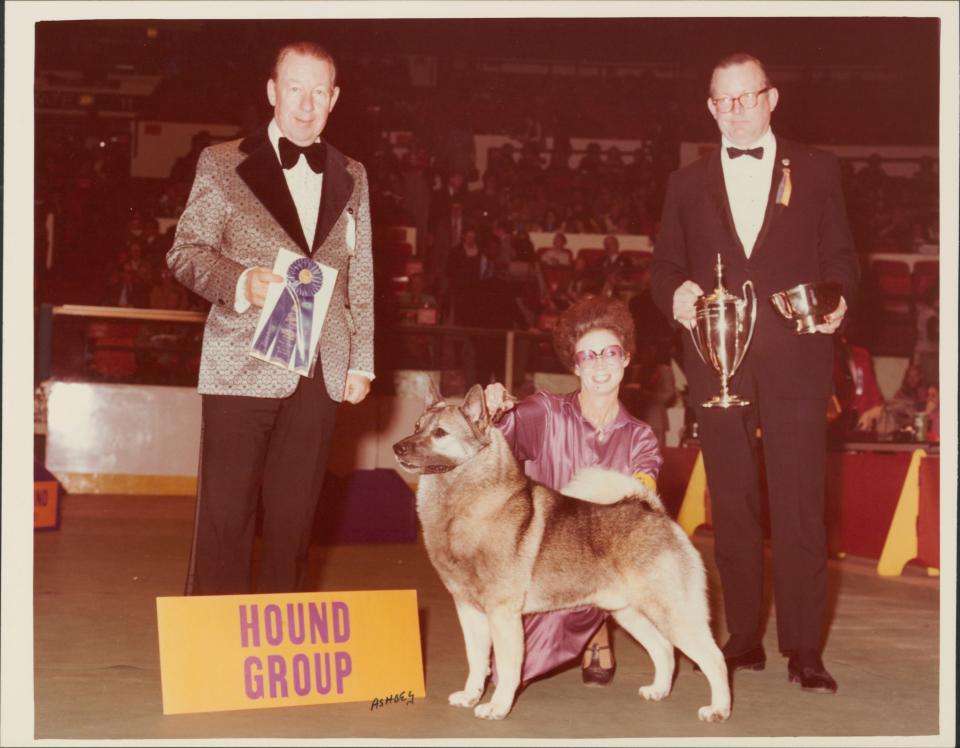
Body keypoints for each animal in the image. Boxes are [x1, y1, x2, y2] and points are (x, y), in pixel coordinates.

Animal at [390, 382, 728, 720]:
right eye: (417, 427)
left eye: (440, 433)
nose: (398, 447)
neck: (465, 498)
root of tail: (656, 512)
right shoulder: (469, 609)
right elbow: (476, 660)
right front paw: (471, 696)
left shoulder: (502, 613)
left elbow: (508, 668)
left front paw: (497, 707)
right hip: (628, 612)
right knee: (664, 649)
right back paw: (658, 690)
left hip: (674, 612)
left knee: (713, 657)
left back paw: (719, 709)